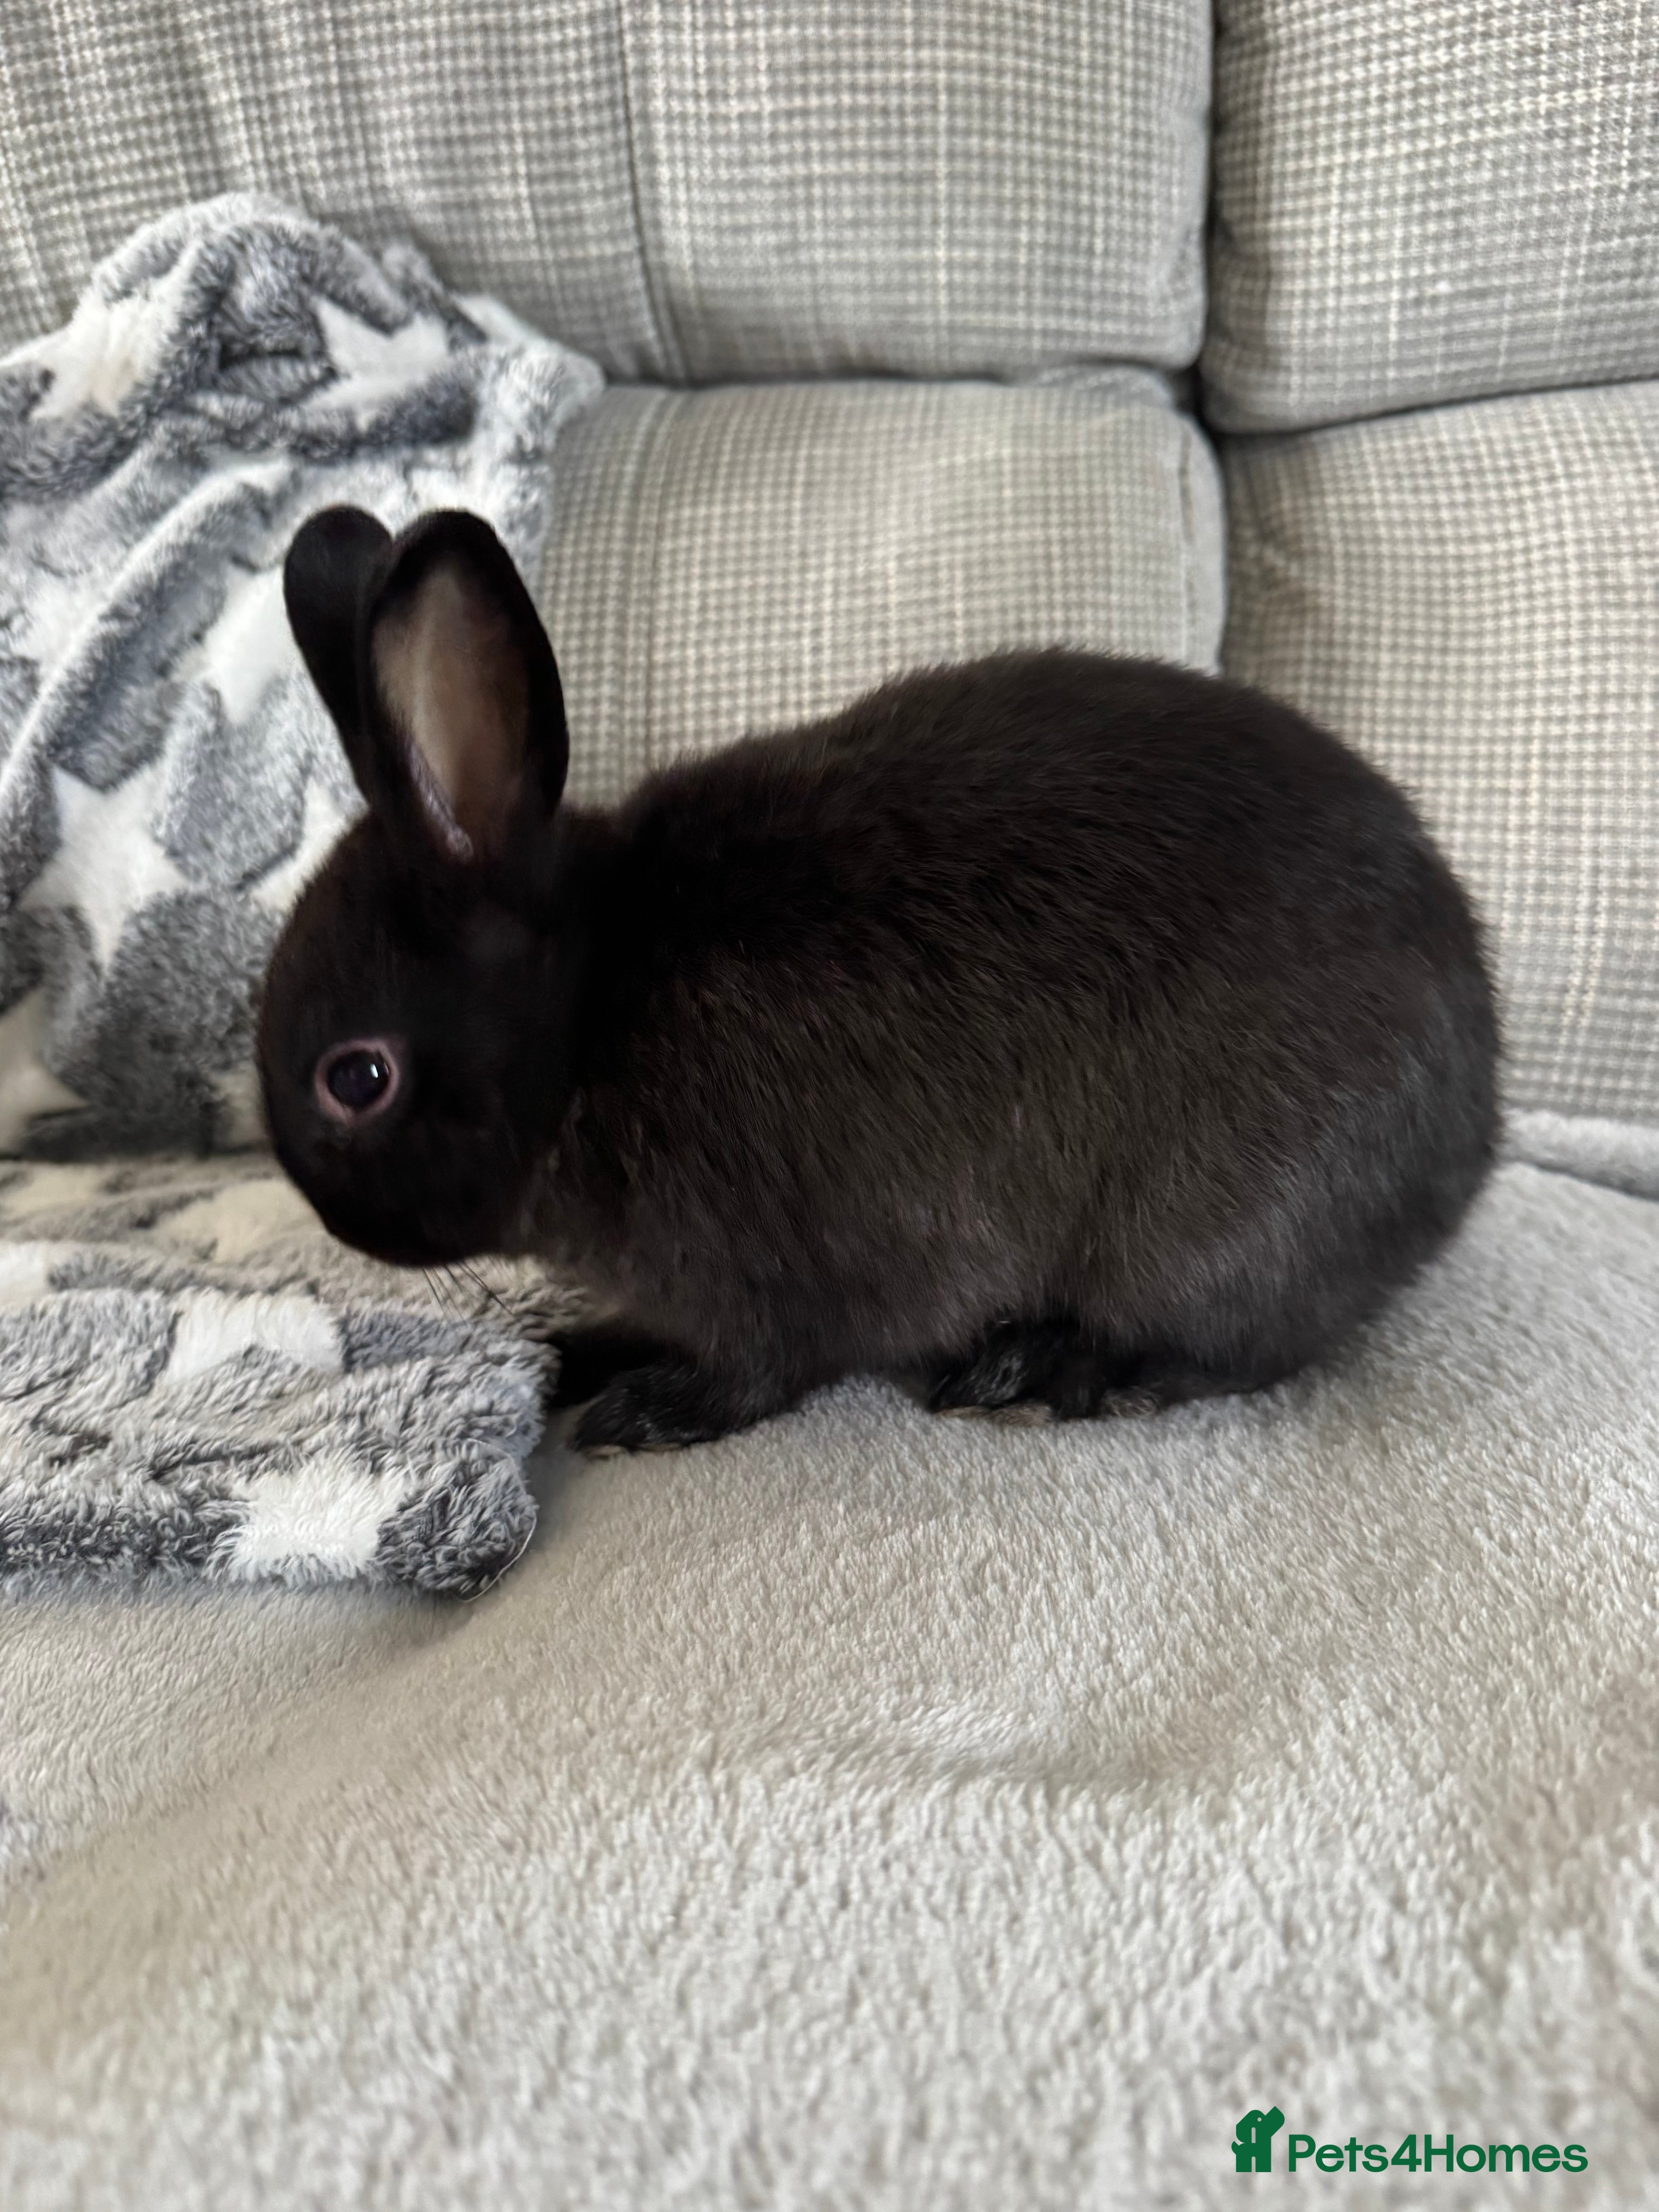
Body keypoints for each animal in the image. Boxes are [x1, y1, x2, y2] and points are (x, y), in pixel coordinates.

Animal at [258, 505, 1499, 1455]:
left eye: (357, 1079)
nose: (341, 1226)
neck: (587, 1018)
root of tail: (1473, 1121)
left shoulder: (786, 1272)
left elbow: (767, 1367)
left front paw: (642, 1414)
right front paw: (576, 1348)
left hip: (1212, 1232)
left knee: (1227, 1348)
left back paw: (1041, 1376)